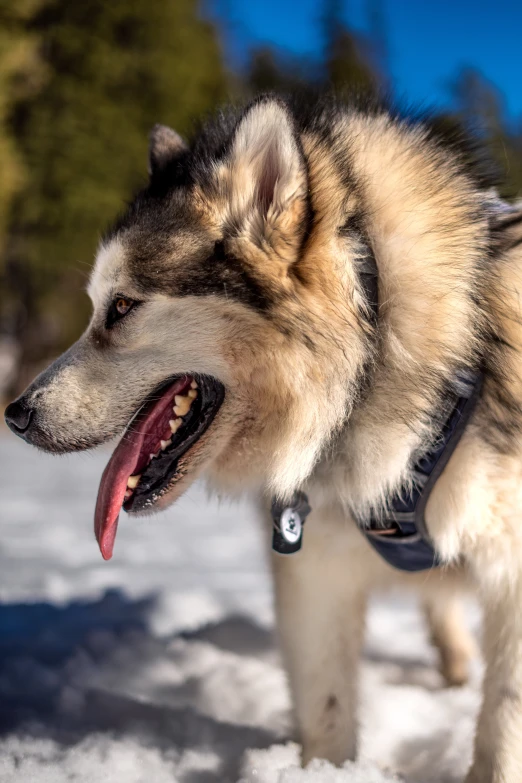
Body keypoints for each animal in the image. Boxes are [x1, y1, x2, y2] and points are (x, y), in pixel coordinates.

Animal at [5, 95, 522, 780]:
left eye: (121, 308)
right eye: (96, 307)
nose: (16, 414)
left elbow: (504, 722)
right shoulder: (317, 568)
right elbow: (327, 706)